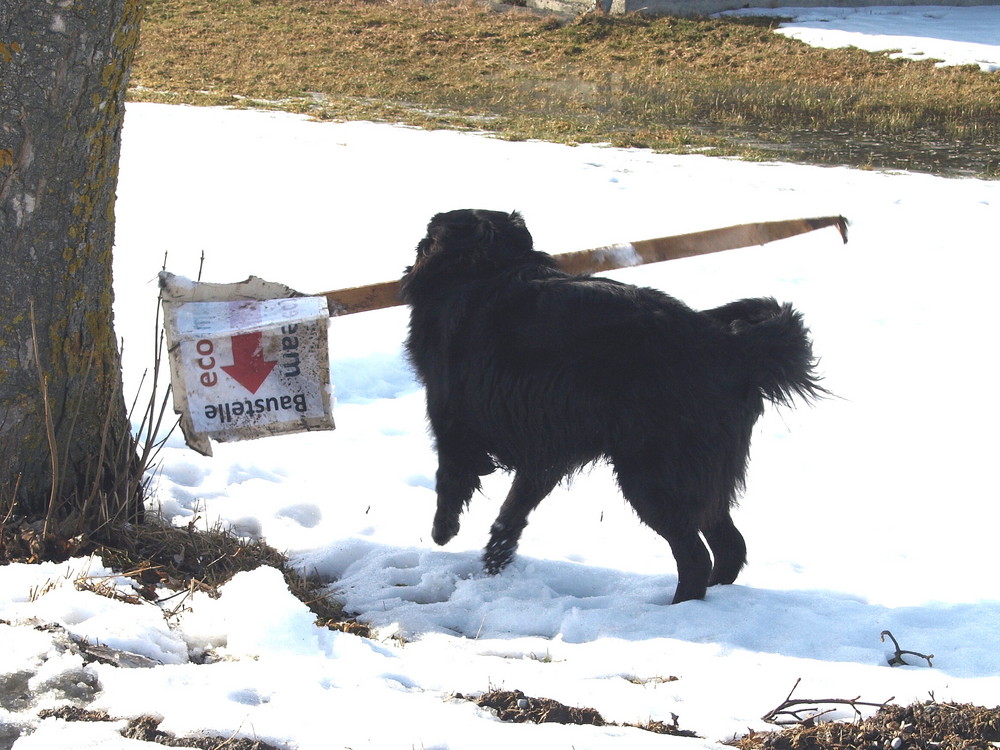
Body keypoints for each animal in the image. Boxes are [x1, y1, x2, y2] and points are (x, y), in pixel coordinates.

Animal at [398, 210, 820, 604]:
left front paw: (443, 532)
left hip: (653, 476)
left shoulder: (453, 423)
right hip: (700, 477)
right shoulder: (545, 452)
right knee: (730, 545)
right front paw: (492, 565)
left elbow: (450, 480)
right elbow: (512, 514)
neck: (486, 267)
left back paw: (675, 611)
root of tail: (728, 344)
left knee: (696, 556)